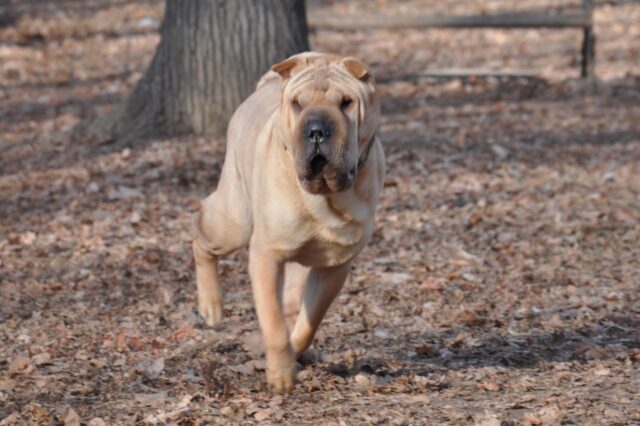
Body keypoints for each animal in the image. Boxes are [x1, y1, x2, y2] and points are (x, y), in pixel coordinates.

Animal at [192, 51, 382, 392]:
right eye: (297, 104)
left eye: (346, 103)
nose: (317, 129)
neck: (323, 197)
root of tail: (265, 85)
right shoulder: (267, 257)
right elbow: (274, 322)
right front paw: (281, 374)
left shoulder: (334, 267)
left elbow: (309, 321)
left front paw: (296, 352)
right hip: (233, 223)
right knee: (200, 232)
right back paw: (211, 307)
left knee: (294, 305)